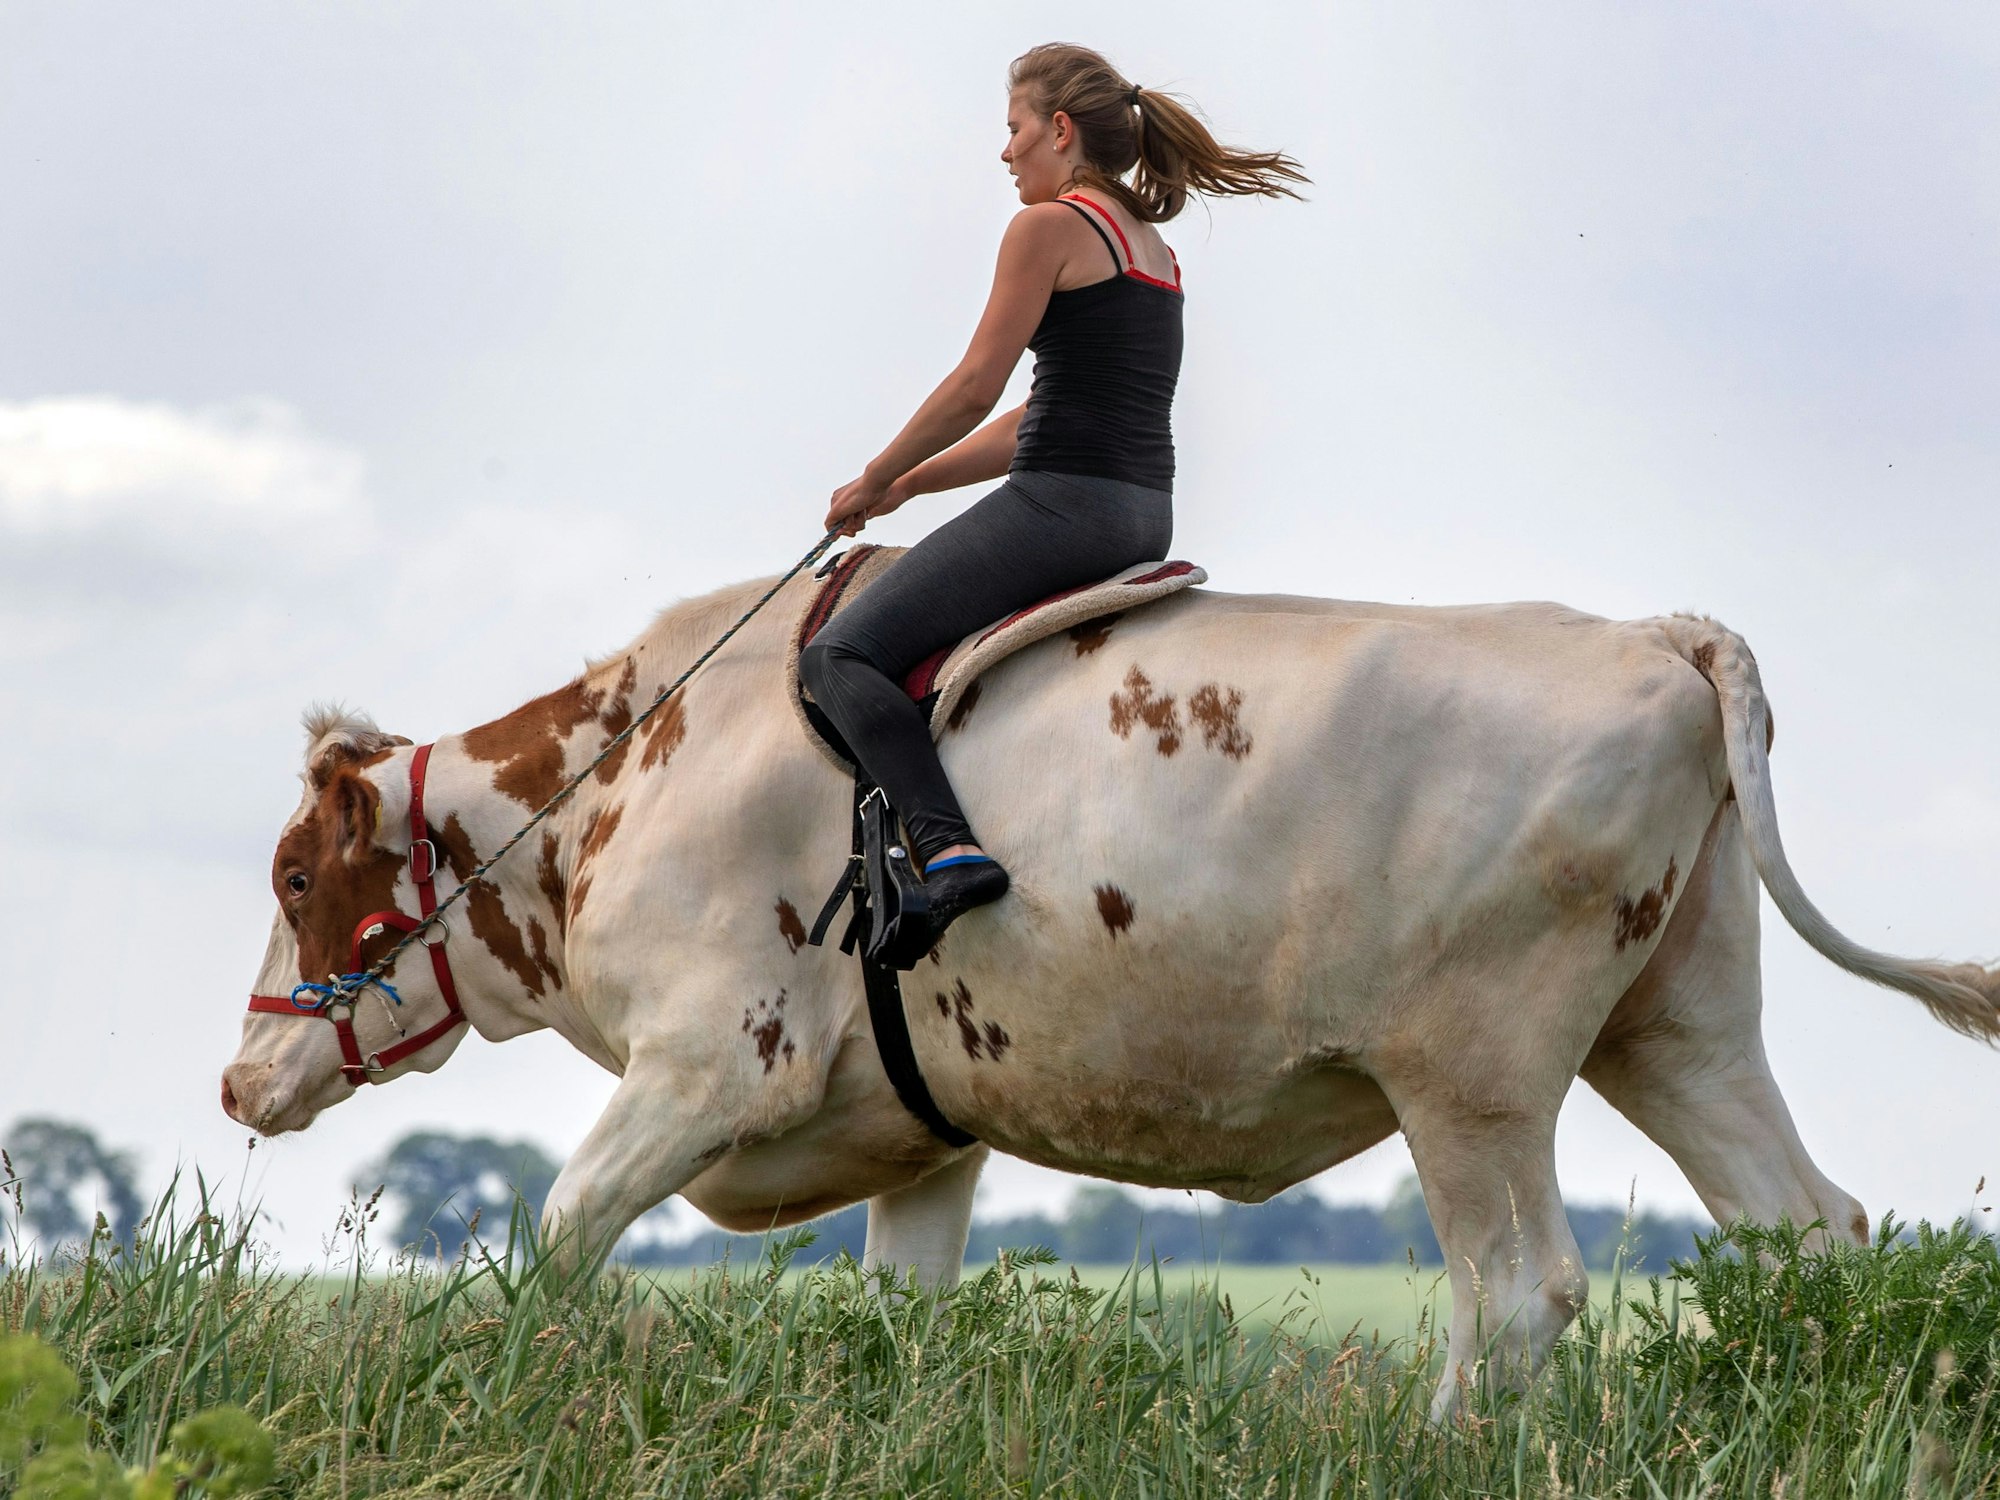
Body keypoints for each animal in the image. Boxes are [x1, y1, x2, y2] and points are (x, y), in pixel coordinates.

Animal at [222, 568, 2000, 1415]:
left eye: (298, 880)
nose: (238, 1082)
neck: (634, 766)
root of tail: (1648, 632)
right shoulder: (924, 1137)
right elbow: (900, 1321)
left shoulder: (712, 1065)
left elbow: (559, 1236)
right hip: (1682, 1035)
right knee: (1810, 1232)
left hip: (1471, 1077)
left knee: (1516, 1298)